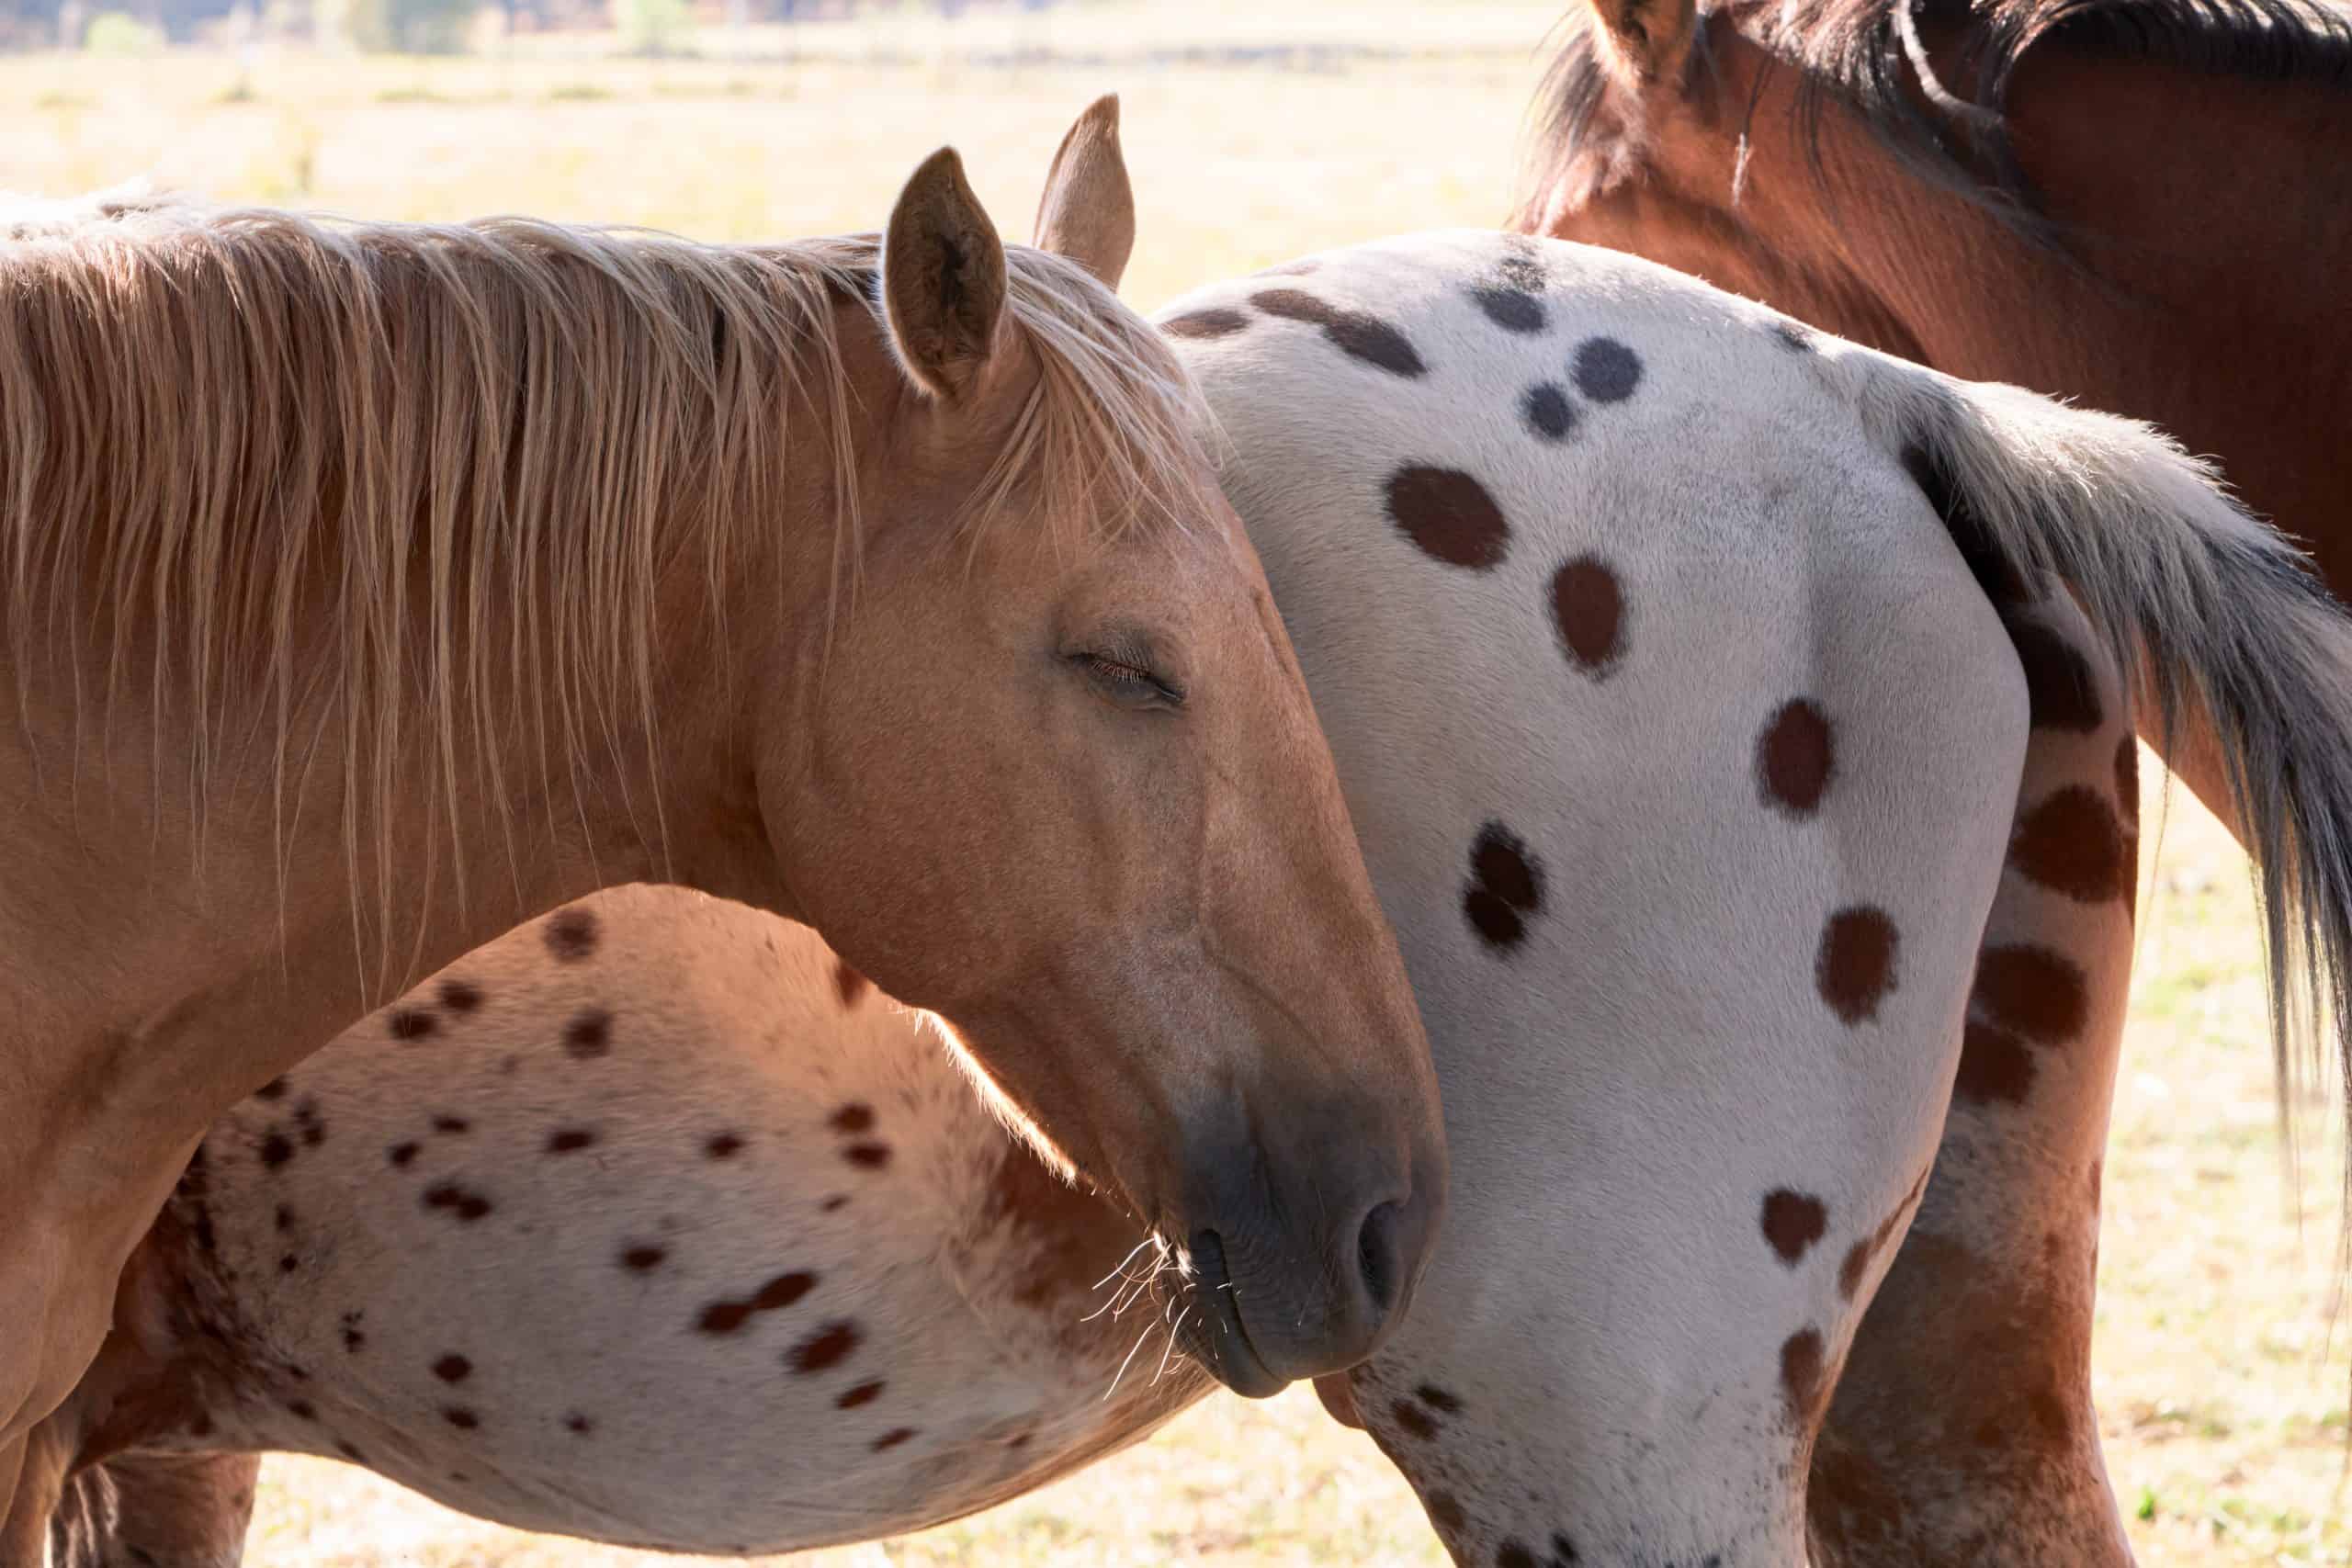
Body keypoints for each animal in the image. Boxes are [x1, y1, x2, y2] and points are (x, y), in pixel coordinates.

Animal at [32, 236, 2352, 1568]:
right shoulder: (144, 1440)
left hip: (1607, 1442)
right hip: (1939, 1363)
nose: (1353, 1190)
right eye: (1133, 661)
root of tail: (1863, 386)